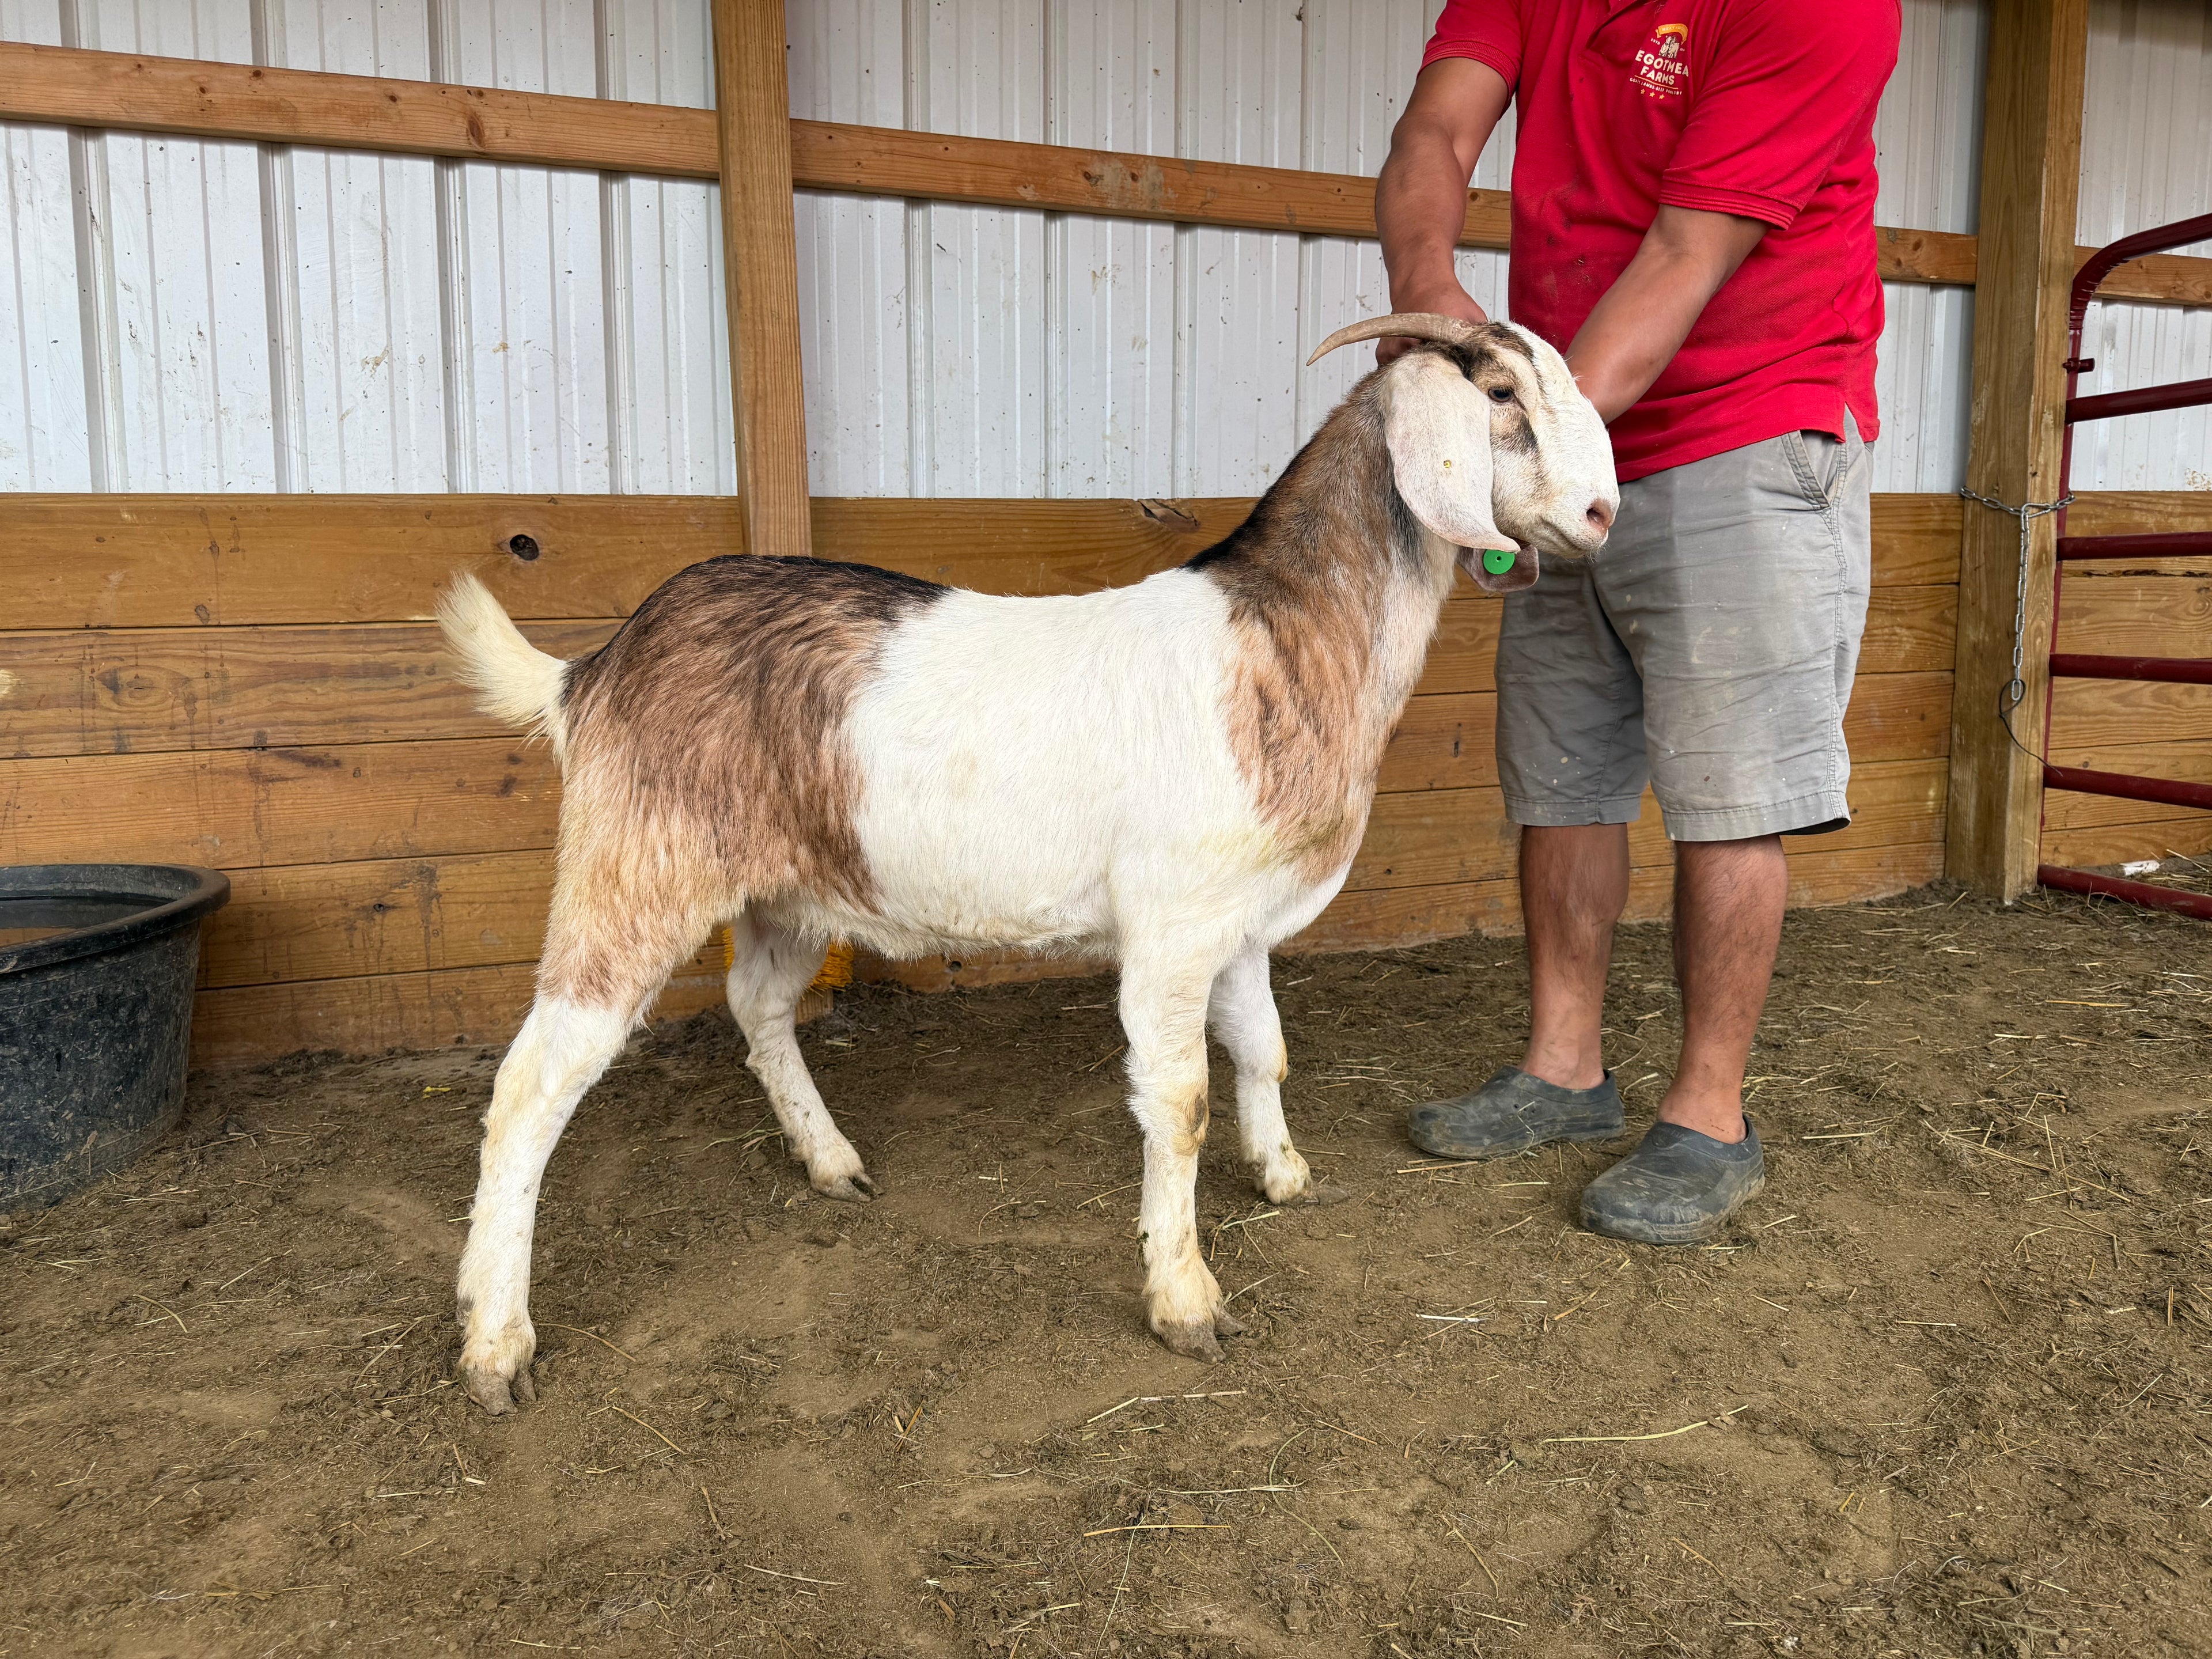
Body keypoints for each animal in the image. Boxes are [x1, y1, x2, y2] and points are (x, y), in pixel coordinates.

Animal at [437, 314, 1616, 1413]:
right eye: (1501, 394)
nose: (1605, 515)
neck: (1280, 640)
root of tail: (596, 668)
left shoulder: (1237, 924)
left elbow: (1266, 1052)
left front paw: (1284, 1175)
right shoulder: (1173, 927)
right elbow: (1180, 1099)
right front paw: (1185, 1300)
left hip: (795, 887)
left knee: (758, 1005)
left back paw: (831, 1161)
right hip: (638, 868)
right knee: (532, 1085)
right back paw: (497, 1344)